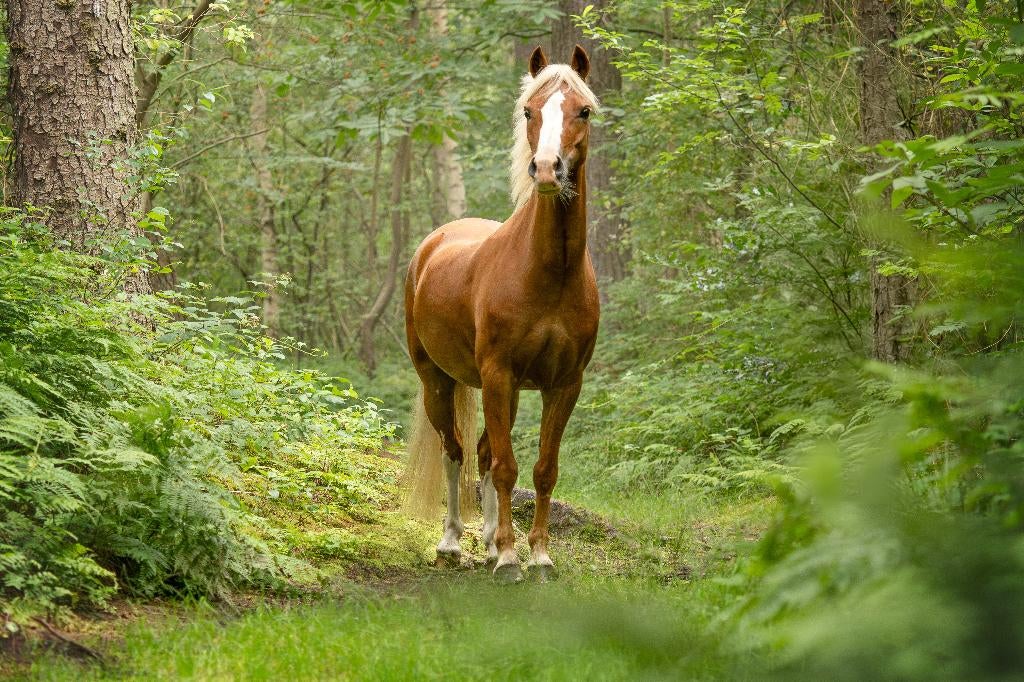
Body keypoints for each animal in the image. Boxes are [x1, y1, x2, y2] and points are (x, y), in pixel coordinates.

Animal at [403, 45, 600, 583]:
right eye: (529, 111)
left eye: (584, 110)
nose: (548, 169)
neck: (548, 274)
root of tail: (434, 243)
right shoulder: (498, 374)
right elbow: (507, 467)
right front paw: (513, 559)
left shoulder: (563, 384)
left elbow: (542, 469)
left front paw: (538, 555)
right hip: (439, 380)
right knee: (456, 452)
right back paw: (452, 542)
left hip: (501, 392)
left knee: (486, 453)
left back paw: (490, 541)